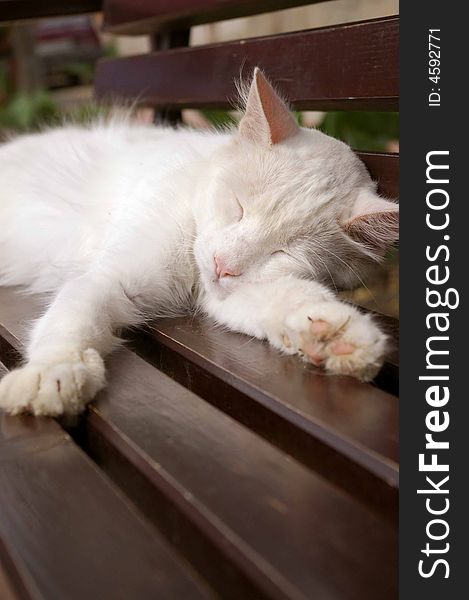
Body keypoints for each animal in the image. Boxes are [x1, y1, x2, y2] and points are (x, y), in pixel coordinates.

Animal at [0, 69, 398, 418]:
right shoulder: (110, 278)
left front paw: (335, 335)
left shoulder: (223, 294)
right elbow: (71, 321)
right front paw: (52, 374)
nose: (223, 265)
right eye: (237, 208)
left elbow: (292, 297)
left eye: (282, 252)